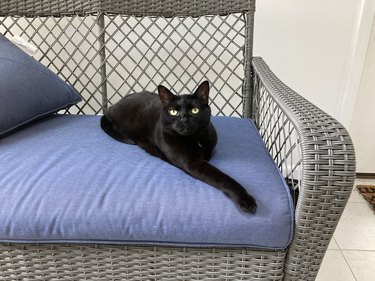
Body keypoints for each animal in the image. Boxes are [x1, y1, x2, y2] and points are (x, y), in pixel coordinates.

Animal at [101, 81, 258, 212]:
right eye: (173, 112)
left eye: (195, 110)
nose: (184, 119)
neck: (195, 139)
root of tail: (111, 107)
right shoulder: (192, 163)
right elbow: (222, 177)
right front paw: (246, 199)